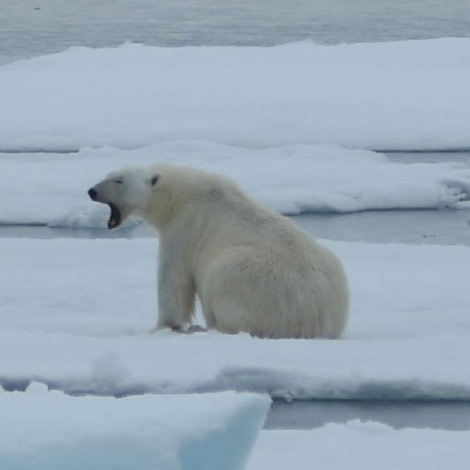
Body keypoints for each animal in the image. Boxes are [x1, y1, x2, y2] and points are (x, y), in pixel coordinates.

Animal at [88, 164, 346, 338]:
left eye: (119, 180)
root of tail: (315, 318)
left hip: (249, 277)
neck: (180, 195)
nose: (92, 191)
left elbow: (174, 280)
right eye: (108, 175)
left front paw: (162, 326)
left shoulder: (184, 228)